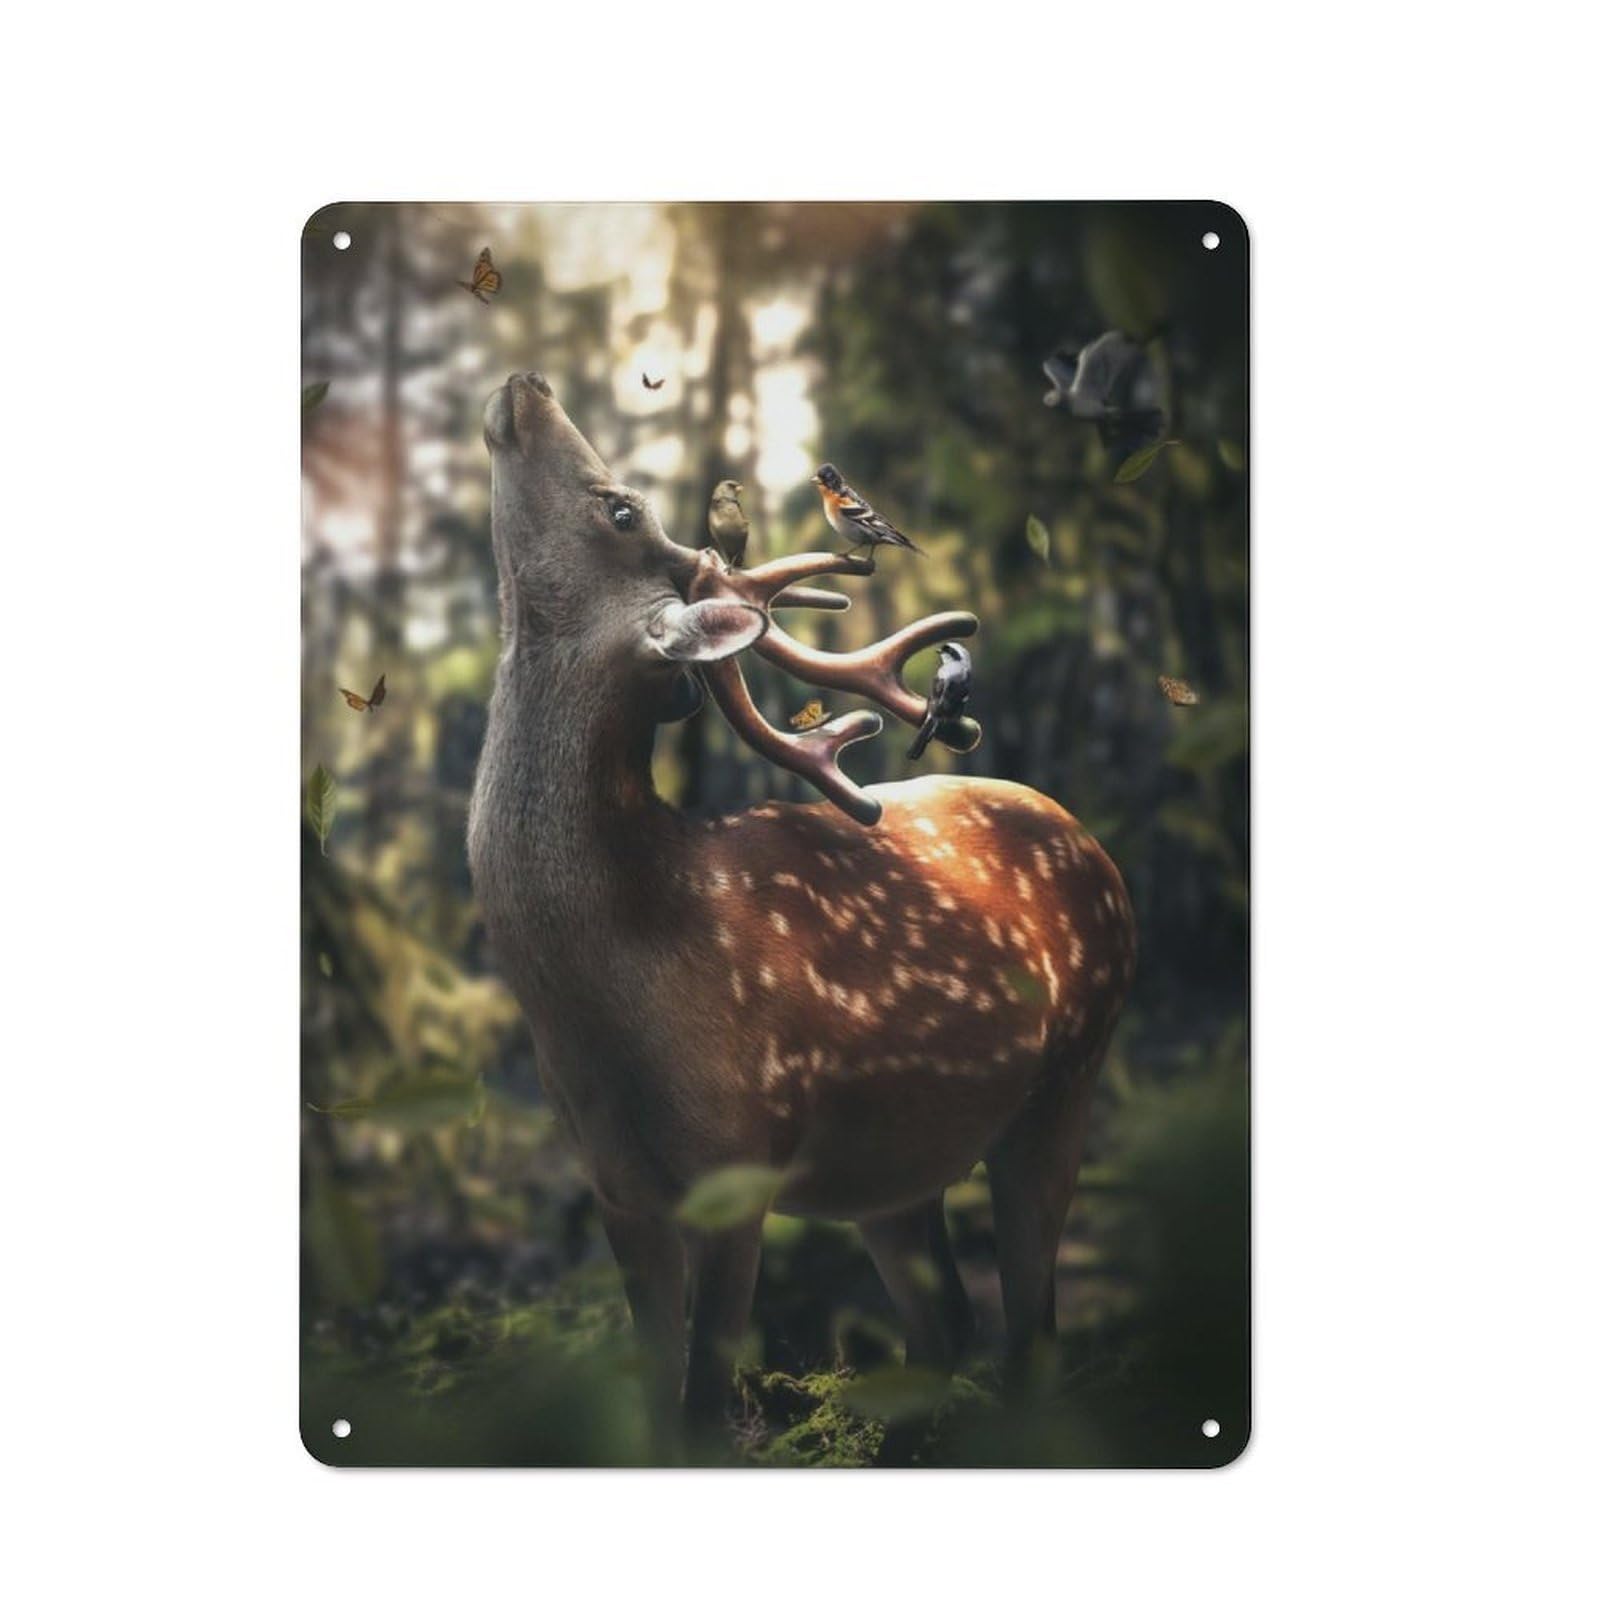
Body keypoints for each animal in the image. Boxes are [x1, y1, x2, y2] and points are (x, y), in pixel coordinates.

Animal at [467, 372, 1137, 1445]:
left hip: (1067, 1081)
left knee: (1029, 1327)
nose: (527, 385)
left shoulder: (739, 1162)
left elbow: (703, 1406)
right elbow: (655, 1404)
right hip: (896, 1157)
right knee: (946, 1321)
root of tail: (1097, 849)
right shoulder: (614, 1186)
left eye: (620, 508)